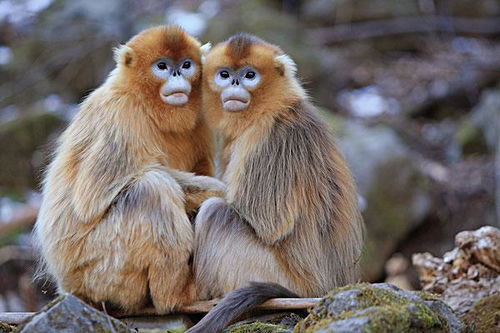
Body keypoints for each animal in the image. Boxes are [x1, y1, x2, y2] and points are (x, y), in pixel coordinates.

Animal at [33, 25, 225, 312]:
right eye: (162, 66)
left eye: (186, 64)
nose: (177, 74)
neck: (146, 102)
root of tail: (67, 286)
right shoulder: (120, 113)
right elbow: (92, 198)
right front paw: (223, 191)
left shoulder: (200, 116)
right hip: (99, 271)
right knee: (151, 188)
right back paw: (174, 297)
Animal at [188, 35, 364, 330]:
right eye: (224, 74)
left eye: (250, 75)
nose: (234, 84)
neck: (269, 109)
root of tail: (322, 289)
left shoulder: (269, 138)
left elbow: (267, 222)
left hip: (276, 275)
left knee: (216, 212)